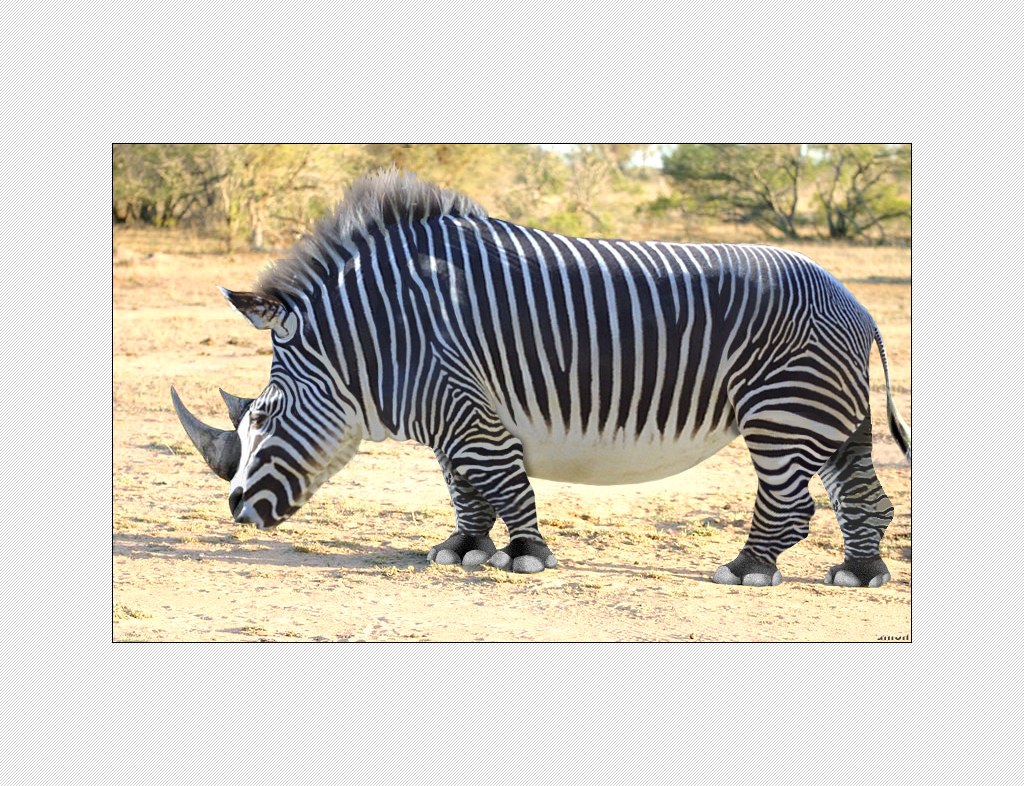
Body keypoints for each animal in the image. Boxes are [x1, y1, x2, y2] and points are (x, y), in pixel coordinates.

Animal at [172, 168, 911, 588]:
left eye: (263, 416)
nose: (234, 513)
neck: (378, 339)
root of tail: (859, 306)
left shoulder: (464, 405)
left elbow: (501, 481)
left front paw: (526, 554)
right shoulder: (452, 417)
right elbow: (464, 488)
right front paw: (463, 549)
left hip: (784, 413)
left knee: (791, 503)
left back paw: (748, 569)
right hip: (834, 417)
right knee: (865, 498)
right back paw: (860, 573)